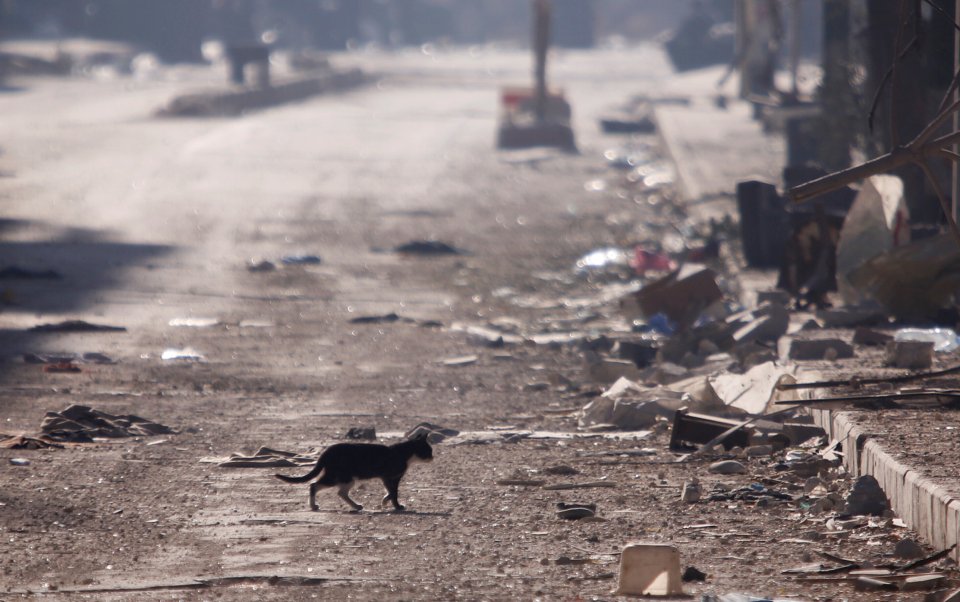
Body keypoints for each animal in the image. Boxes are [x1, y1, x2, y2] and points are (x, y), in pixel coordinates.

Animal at [272, 432, 434, 510]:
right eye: (429, 450)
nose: (433, 457)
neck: (405, 454)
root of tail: (327, 451)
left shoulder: (386, 477)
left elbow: (390, 491)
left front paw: (384, 501)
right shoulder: (391, 476)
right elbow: (394, 492)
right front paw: (397, 506)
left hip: (344, 477)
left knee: (339, 492)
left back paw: (356, 506)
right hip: (340, 476)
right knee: (315, 485)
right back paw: (314, 506)